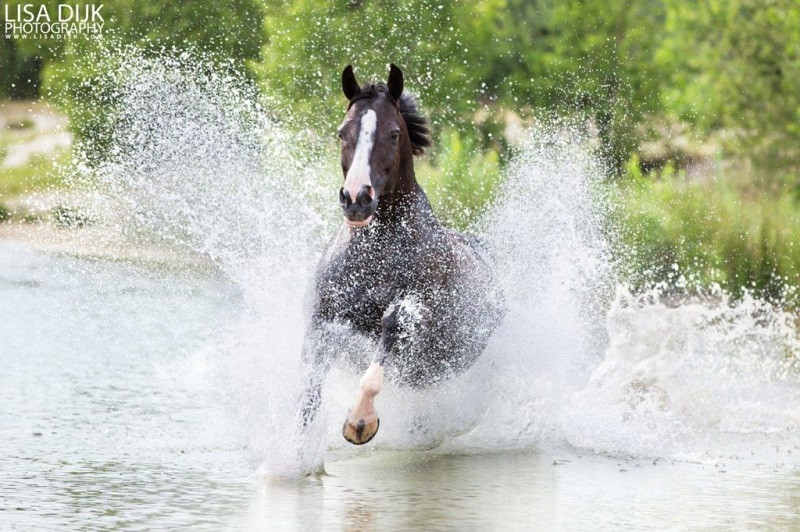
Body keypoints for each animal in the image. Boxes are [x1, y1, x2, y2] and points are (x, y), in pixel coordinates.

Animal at [298, 64, 505, 445]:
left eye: (393, 134)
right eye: (342, 132)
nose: (356, 199)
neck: (376, 256)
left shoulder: (411, 316)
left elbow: (378, 359)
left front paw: (360, 422)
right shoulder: (323, 319)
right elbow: (308, 395)